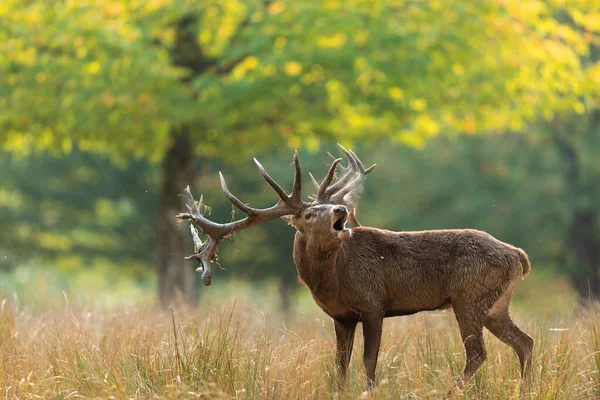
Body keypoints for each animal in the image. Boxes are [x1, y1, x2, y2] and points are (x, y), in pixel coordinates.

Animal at [177, 145, 536, 396]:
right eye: (309, 214)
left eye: (325, 208)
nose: (340, 209)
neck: (333, 281)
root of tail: (518, 255)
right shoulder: (341, 316)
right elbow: (340, 364)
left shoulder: (373, 302)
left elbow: (368, 359)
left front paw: (369, 392)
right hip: (494, 305)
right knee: (525, 341)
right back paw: (524, 391)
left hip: (469, 297)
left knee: (477, 353)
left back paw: (449, 393)